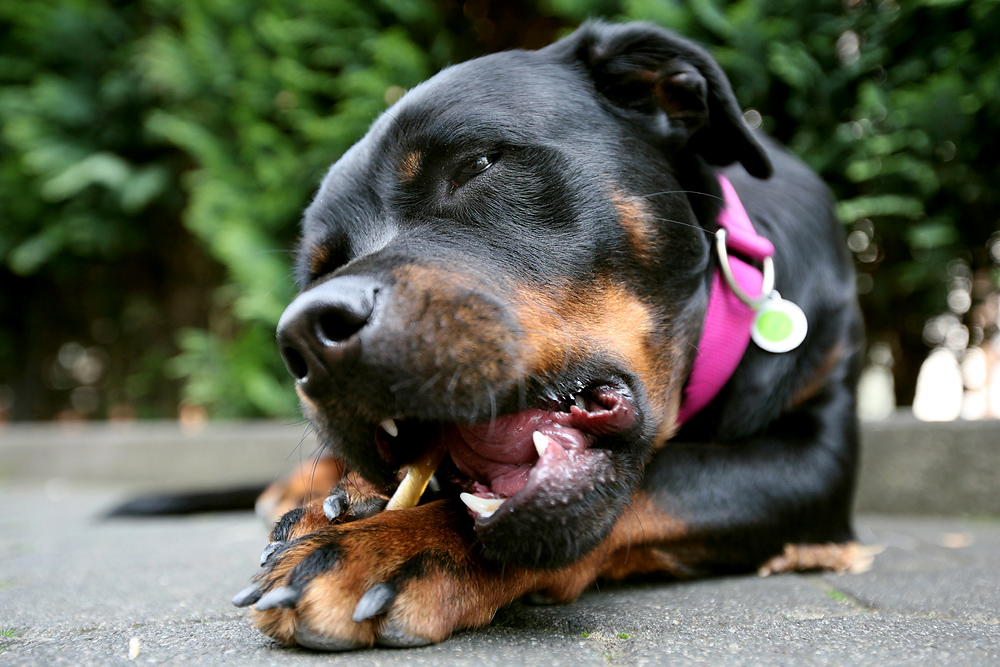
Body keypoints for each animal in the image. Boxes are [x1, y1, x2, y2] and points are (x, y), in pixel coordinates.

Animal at [232, 22, 868, 652]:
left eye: (480, 163)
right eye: (318, 269)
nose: (305, 334)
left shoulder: (818, 460)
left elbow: (663, 477)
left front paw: (390, 545)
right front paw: (362, 513)